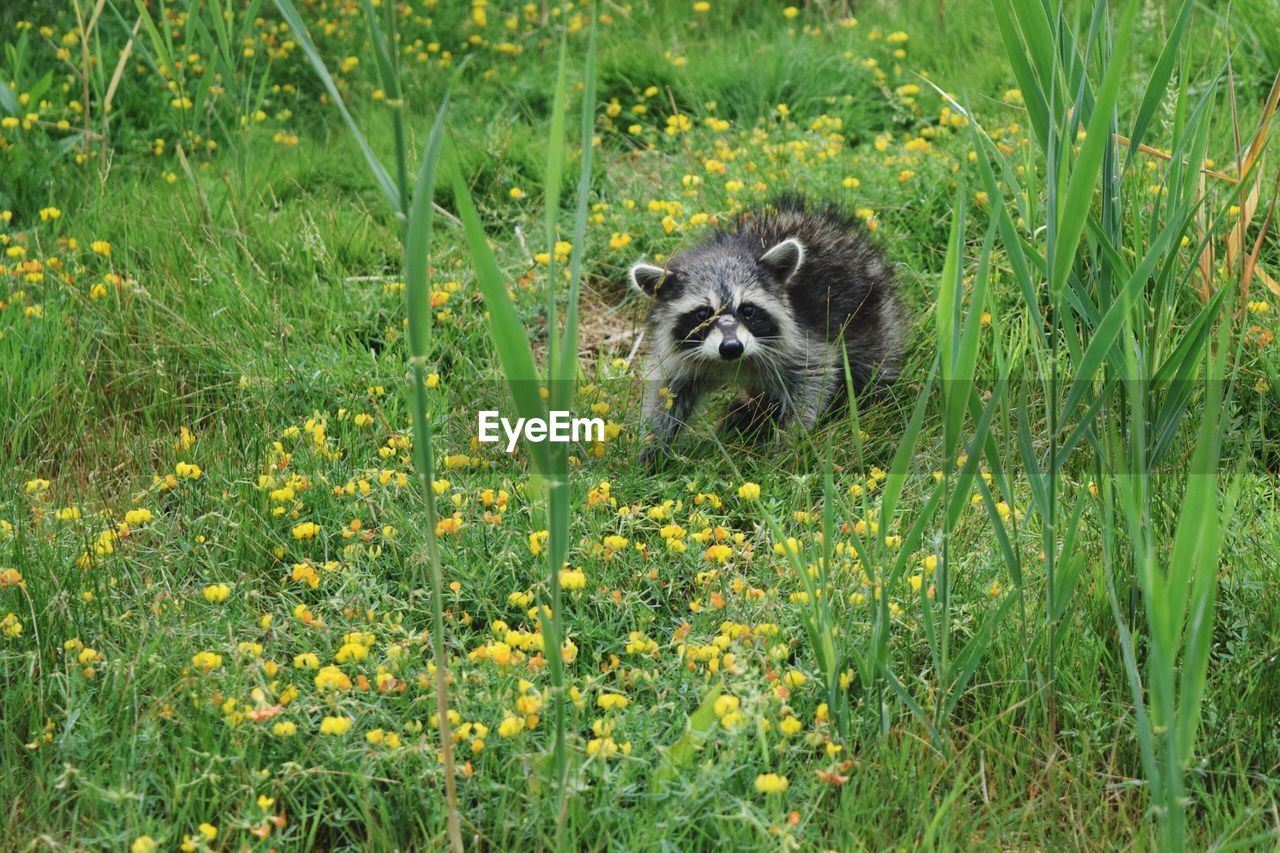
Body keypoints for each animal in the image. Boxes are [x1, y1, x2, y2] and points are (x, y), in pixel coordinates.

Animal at [624, 193, 906, 466]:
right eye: (703, 314)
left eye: (747, 310)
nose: (731, 347)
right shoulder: (680, 353)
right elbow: (666, 392)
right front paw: (651, 449)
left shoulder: (800, 338)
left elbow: (813, 376)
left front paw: (787, 443)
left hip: (871, 317)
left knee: (871, 367)